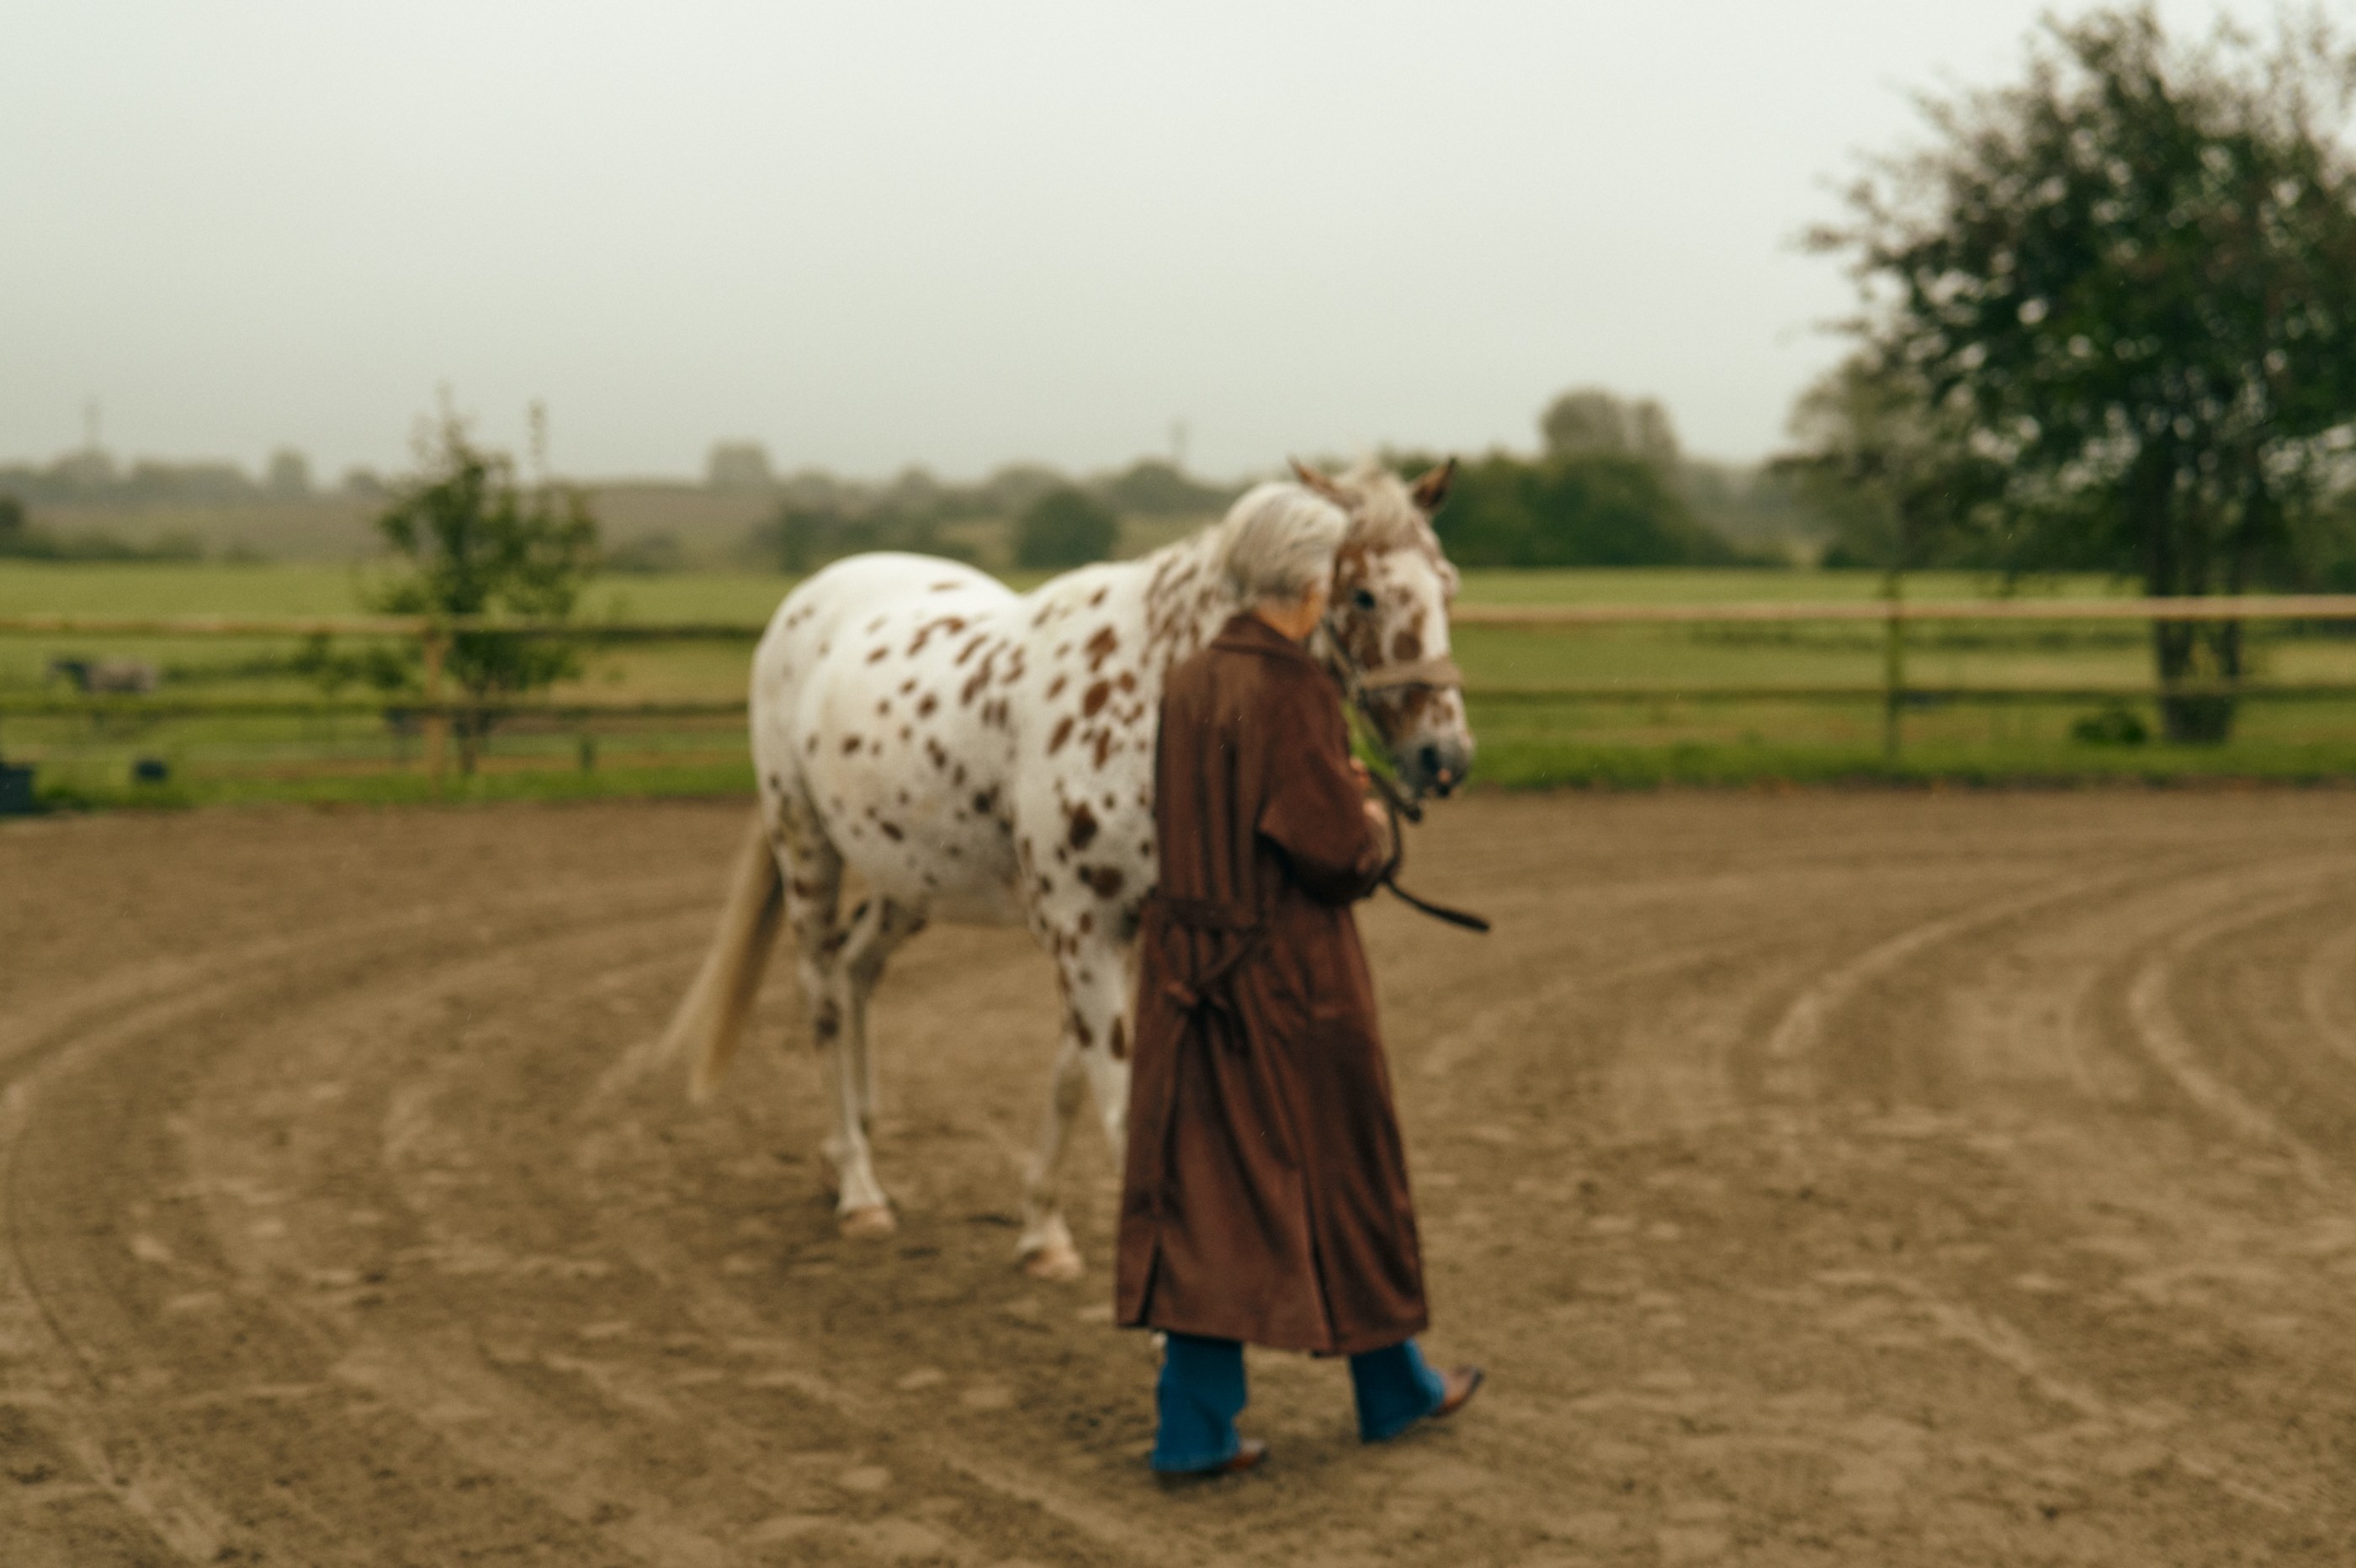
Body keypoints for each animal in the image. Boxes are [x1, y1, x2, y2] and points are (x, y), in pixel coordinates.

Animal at [658, 458, 1475, 1280]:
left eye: (1448, 584)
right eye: (1363, 592)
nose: (1444, 758)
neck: (1145, 693)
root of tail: (811, 599)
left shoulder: (1129, 928)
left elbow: (1072, 1077)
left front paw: (1042, 1231)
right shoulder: (1079, 926)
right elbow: (1114, 1096)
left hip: (907, 878)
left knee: (857, 970)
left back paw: (846, 1149)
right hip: (806, 850)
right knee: (823, 997)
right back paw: (859, 1191)